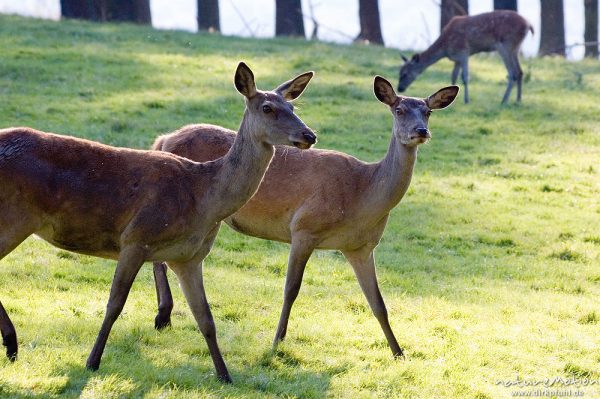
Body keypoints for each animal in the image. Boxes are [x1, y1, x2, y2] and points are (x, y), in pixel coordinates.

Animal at [0, 62, 316, 384]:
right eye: (267, 108)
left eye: (292, 106)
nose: (309, 135)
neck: (203, 198)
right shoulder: (135, 237)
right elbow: (114, 305)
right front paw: (92, 361)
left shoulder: (189, 258)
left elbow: (206, 318)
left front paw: (225, 375)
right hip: (15, 217)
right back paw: (12, 343)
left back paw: (11, 345)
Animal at [150, 76, 460, 360]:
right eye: (398, 109)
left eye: (427, 111)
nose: (420, 131)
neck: (362, 196)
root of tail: (162, 140)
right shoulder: (304, 228)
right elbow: (291, 289)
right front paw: (276, 343)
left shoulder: (360, 247)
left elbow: (378, 302)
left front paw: (398, 352)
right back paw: (163, 316)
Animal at [398, 9, 536, 104]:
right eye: (399, 73)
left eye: (405, 73)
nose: (400, 88)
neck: (445, 48)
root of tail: (528, 25)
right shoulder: (456, 59)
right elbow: (453, 76)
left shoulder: (464, 52)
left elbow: (464, 77)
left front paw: (466, 100)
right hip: (515, 48)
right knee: (520, 71)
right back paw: (518, 99)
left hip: (506, 44)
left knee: (513, 73)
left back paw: (504, 100)